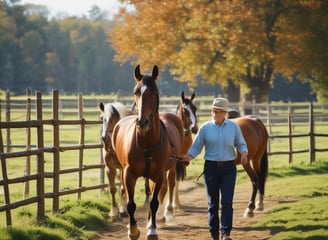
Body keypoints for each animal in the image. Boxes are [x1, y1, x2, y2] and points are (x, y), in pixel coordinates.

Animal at [112, 64, 184, 239]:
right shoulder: (128, 174)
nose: (142, 122)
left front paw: (151, 229)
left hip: (169, 170)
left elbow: (154, 202)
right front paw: (133, 230)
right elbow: (131, 204)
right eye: (136, 91)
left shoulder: (157, 175)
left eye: (155, 92)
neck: (147, 144)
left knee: (163, 190)